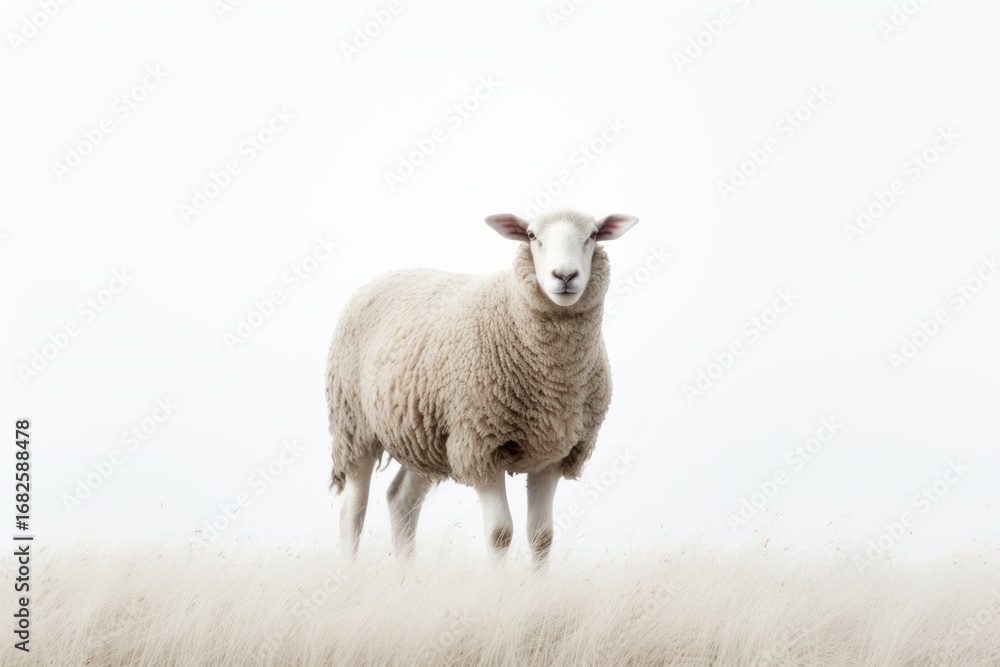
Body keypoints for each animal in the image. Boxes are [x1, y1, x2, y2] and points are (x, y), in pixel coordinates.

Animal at [326, 207, 637, 562]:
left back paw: (407, 572)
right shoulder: (479, 445)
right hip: (354, 425)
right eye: (532, 236)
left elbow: (542, 537)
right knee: (352, 512)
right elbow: (500, 535)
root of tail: (391, 274)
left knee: (401, 499)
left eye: (593, 235)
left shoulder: (553, 454)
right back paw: (349, 569)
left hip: (423, 432)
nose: (565, 276)